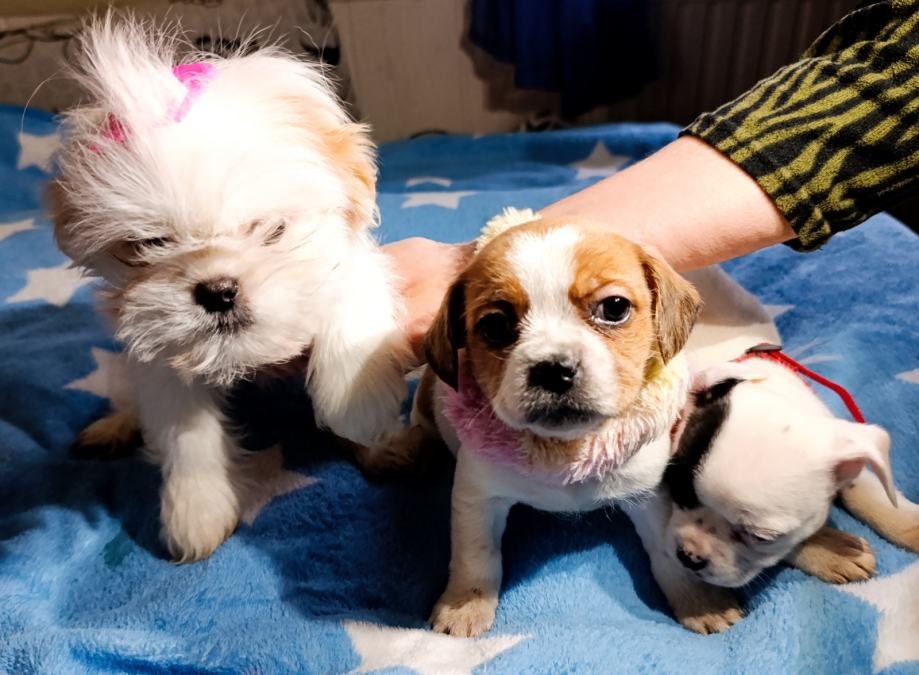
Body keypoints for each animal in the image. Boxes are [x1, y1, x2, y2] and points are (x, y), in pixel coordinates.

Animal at [51, 16, 413, 562]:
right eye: (152, 243)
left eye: (272, 229)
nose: (218, 290)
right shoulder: (161, 352)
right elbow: (184, 431)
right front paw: (195, 511)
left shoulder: (348, 255)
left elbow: (350, 292)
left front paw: (360, 406)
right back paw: (115, 426)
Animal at [630, 352, 919, 634]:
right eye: (677, 490)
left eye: (761, 537)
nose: (690, 556)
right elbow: (659, 539)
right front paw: (830, 549)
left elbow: (865, 489)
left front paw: (907, 521)